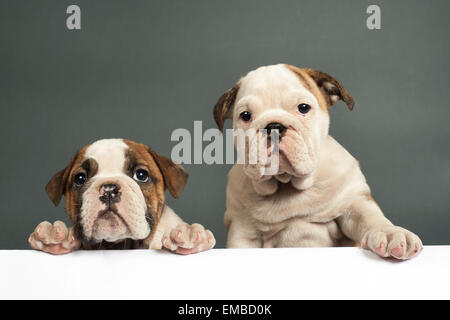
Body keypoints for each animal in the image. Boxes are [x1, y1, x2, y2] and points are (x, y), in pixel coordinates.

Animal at [214, 64, 422, 260]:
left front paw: (391, 234)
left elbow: (370, 218)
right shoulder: (243, 230)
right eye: (245, 116)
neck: (286, 185)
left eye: (303, 108)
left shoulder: (354, 201)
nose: (274, 126)